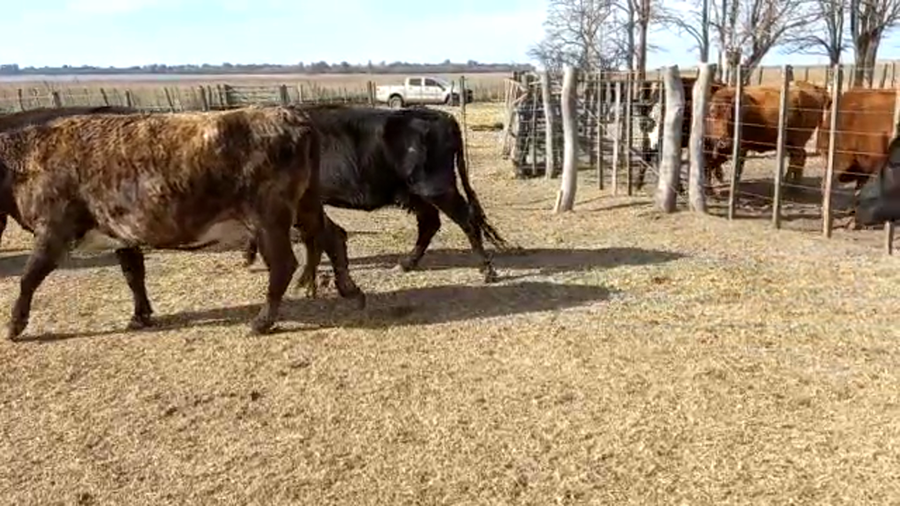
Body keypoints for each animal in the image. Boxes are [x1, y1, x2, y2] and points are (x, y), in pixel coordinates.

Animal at [241, 104, 511, 284]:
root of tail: (442, 115)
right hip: (412, 193)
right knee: (430, 222)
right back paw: (407, 263)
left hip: (436, 187)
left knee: (466, 219)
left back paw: (487, 270)